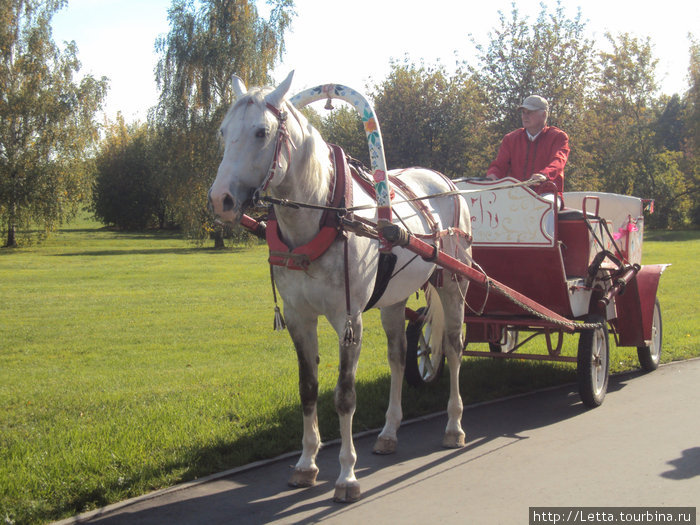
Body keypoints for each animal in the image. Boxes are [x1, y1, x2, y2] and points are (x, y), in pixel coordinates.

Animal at [208, 71, 470, 502]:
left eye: (262, 132)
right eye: (223, 132)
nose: (220, 200)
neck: (323, 217)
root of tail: (445, 180)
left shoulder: (349, 320)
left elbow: (344, 396)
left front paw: (346, 474)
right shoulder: (299, 318)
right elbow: (308, 388)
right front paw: (305, 463)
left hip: (453, 282)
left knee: (452, 347)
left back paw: (453, 425)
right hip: (393, 299)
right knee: (399, 357)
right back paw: (389, 432)